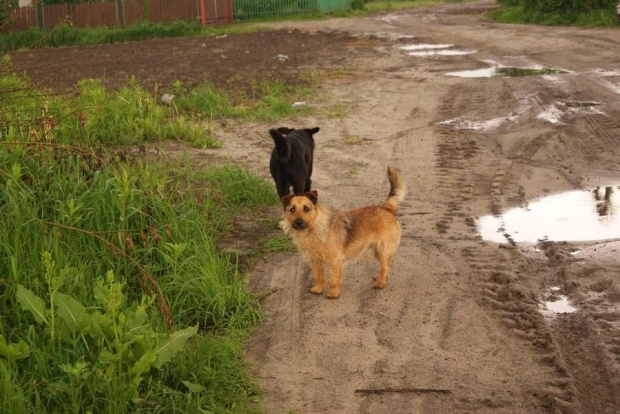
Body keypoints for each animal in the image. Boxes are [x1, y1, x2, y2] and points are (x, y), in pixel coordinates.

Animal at [280, 167, 406, 300]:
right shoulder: (315, 261)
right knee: (387, 264)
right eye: (292, 209)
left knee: (385, 266)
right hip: (377, 250)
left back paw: (381, 283)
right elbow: (318, 276)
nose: (298, 222)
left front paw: (334, 292)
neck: (314, 228)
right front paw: (318, 288)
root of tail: (386, 208)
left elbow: (333, 278)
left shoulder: (334, 261)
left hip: (382, 249)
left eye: (306, 209)